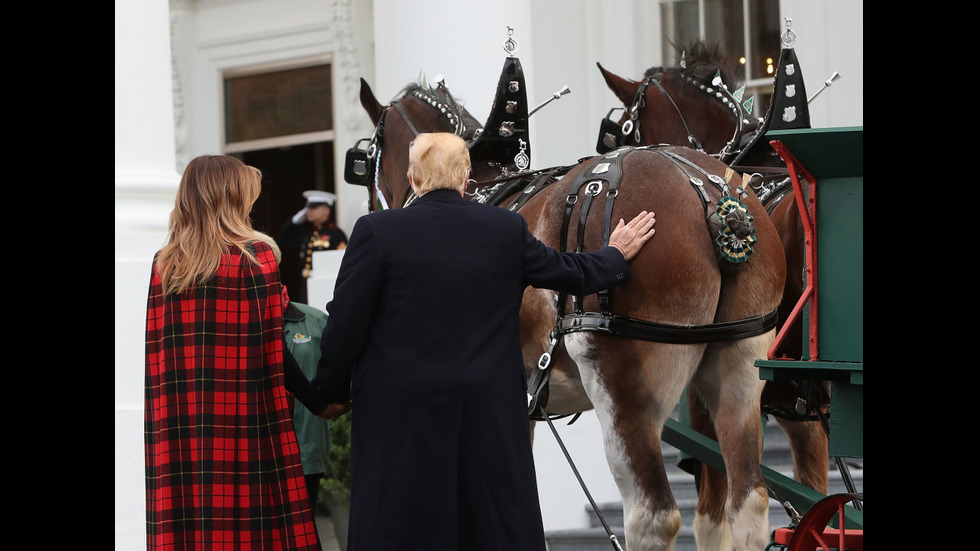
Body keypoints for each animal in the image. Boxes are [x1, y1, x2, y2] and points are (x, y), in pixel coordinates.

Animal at [352, 70, 788, 551]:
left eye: (365, 158)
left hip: (623, 391)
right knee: (747, 501)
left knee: (653, 516)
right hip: (740, 368)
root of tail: (713, 199)